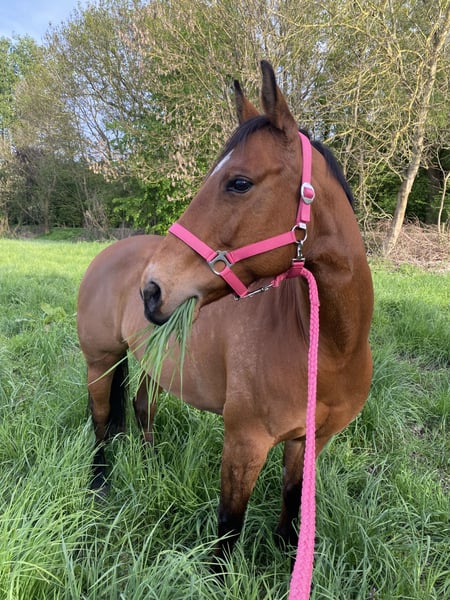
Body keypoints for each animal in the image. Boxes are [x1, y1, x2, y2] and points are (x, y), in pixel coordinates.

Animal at [77, 61, 373, 562]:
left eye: (239, 182)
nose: (151, 290)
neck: (325, 348)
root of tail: (108, 254)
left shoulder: (307, 442)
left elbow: (293, 503)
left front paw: (286, 551)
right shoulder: (243, 442)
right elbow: (228, 527)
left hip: (153, 362)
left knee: (142, 408)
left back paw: (151, 466)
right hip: (102, 362)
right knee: (101, 424)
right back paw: (100, 486)